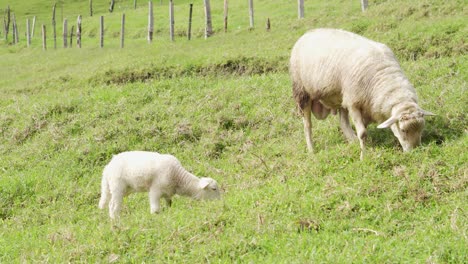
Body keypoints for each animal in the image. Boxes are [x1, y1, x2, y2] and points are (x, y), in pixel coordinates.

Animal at [288, 27, 436, 159]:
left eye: (421, 129)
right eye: (403, 130)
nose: (415, 151)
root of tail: (307, 33)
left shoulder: (363, 104)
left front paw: (364, 147)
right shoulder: (354, 103)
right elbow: (363, 133)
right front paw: (363, 156)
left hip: (341, 95)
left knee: (343, 122)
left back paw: (352, 141)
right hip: (302, 93)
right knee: (307, 125)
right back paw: (311, 150)